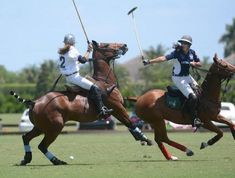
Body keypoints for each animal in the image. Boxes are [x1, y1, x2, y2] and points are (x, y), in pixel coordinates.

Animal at [10, 40, 152, 165]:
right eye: (106, 44)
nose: (125, 45)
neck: (105, 81)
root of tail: (34, 102)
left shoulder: (116, 110)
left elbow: (128, 124)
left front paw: (140, 138)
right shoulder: (117, 107)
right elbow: (130, 122)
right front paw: (146, 139)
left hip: (40, 126)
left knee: (26, 137)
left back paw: (27, 159)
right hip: (55, 126)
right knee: (42, 145)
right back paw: (56, 161)